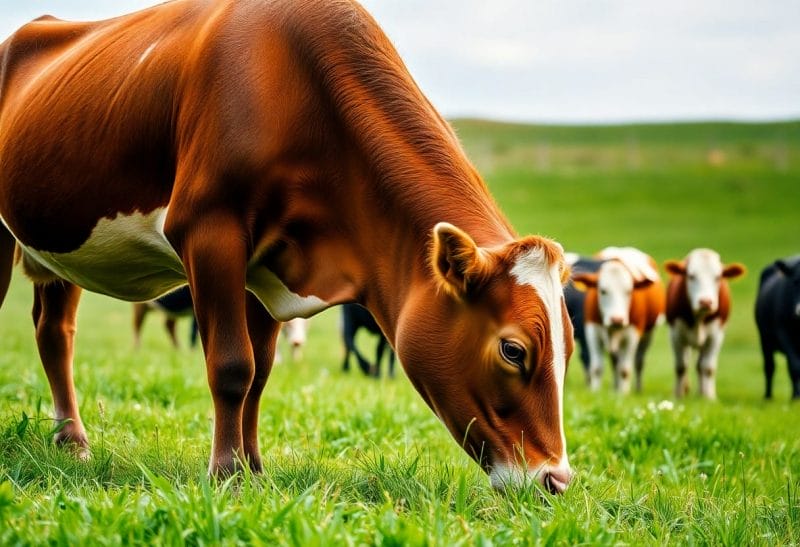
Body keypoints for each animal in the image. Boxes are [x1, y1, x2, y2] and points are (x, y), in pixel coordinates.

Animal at [0, 0, 574, 493]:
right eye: (513, 350)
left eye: (568, 348)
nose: (557, 479)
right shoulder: (210, 230)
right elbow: (233, 365)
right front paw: (227, 473)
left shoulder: (269, 261)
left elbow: (260, 371)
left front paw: (254, 468)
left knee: (55, 332)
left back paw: (71, 441)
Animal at [572, 248, 665, 394]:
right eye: (603, 291)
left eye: (629, 291)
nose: (617, 319)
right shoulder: (592, 331)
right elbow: (597, 367)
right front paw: (595, 391)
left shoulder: (633, 334)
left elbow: (625, 370)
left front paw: (623, 393)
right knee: (614, 361)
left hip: (648, 334)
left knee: (638, 361)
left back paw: (636, 388)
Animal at [664, 249, 745, 400]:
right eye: (691, 276)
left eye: (718, 277)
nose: (706, 301)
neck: (699, 318)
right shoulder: (676, 334)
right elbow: (680, 366)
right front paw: (678, 394)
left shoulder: (716, 336)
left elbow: (707, 367)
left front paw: (708, 397)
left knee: (700, 365)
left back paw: (701, 393)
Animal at [755, 256, 800, 400]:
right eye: (795, 281)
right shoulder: (784, 334)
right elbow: (795, 367)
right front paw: (796, 397)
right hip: (764, 341)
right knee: (769, 367)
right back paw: (768, 397)